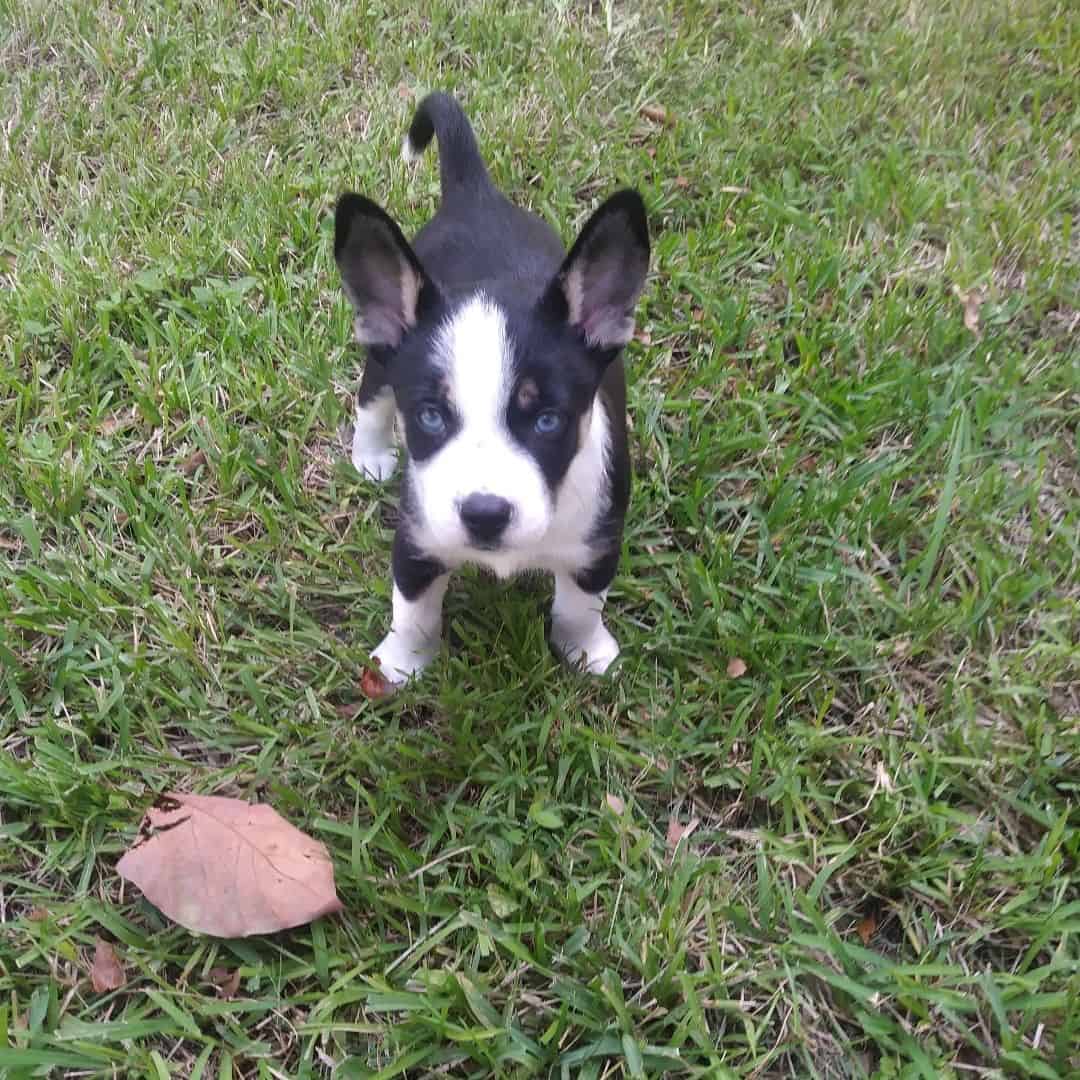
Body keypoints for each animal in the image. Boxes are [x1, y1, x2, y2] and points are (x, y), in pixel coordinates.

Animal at [332, 90, 643, 682]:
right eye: (430, 417)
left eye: (547, 420)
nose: (484, 515)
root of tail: (475, 194)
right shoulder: (418, 539)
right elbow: (413, 612)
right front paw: (401, 665)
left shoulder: (597, 545)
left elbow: (579, 607)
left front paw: (585, 652)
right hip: (381, 361)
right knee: (370, 402)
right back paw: (372, 455)